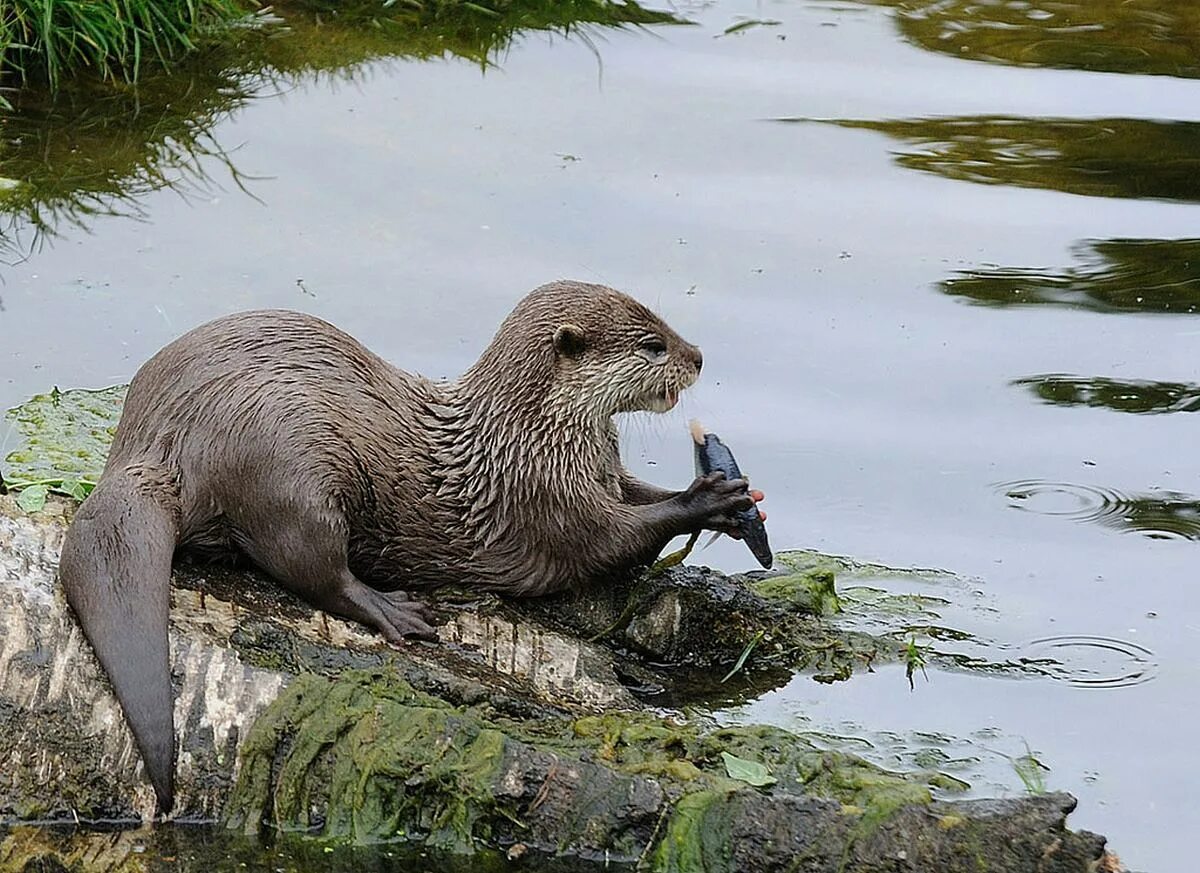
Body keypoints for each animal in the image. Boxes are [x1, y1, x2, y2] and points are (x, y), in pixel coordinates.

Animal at [56, 279, 758, 810]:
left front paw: (730, 492)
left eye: (665, 325)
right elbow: (617, 539)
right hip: (291, 477)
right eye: (652, 344)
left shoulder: (601, 473)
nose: (699, 355)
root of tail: (153, 442)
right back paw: (395, 611)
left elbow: (639, 493)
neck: (532, 437)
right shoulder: (548, 503)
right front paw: (708, 499)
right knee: (313, 569)